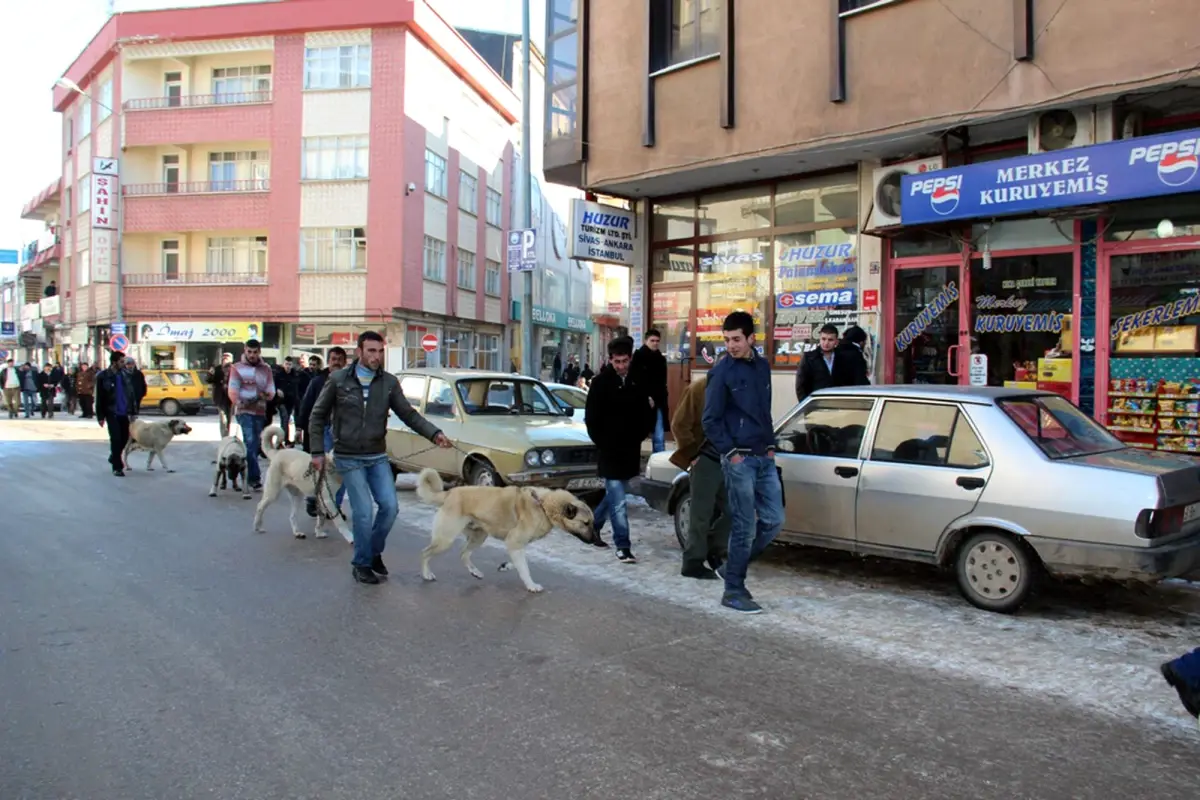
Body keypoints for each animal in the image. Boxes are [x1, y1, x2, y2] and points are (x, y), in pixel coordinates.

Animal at [415, 465, 597, 592]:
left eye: (592, 522)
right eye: (586, 523)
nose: (598, 542)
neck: (544, 505)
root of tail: (449, 493)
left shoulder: (517, 545)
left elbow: (519, 563)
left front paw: (506, 566)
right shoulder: (514, 542)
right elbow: (524, 568)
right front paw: (531, 585)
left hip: (479, 536)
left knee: (463, 553)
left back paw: (474, 572)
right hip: (445, 539)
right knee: (424, 553)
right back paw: (426, 574)